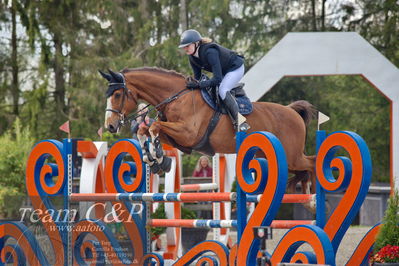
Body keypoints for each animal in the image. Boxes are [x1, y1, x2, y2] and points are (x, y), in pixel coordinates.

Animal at [101, 68, 318, 193]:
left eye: (117, 94)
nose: (110, 125)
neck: (176, 97)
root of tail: (292, 111)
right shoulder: (178, 139)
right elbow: (144, 130)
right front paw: (154, 160)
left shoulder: (188, 134)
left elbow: (153, 127)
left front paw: (159, 157)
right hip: (273, 155)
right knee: (305, 169)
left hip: (292, 156)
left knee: (312, 163)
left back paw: (314, 200)